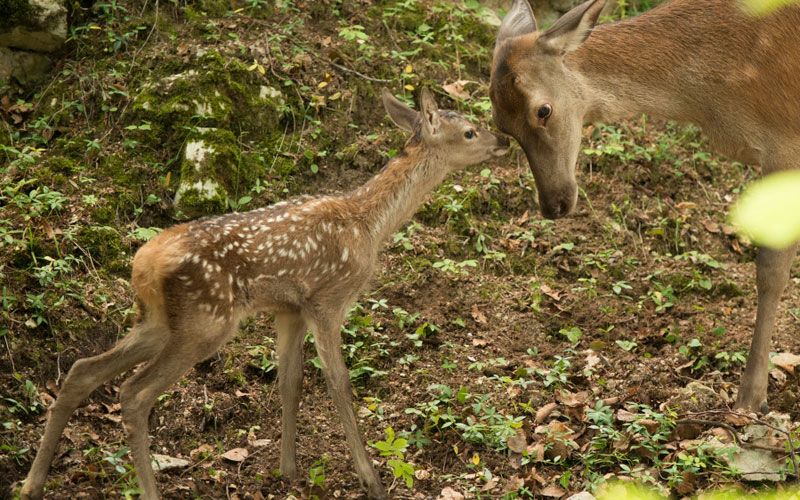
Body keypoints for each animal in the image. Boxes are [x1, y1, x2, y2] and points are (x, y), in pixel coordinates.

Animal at [21, 90, 510, 500]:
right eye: (470, 131)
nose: (504, 139)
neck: (367, 225)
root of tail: (143, 264)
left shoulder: (289, 308)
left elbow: (289, 382)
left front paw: (288, 470)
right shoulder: (328, 299)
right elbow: (338, 382)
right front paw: (370, 479)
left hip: (159, 320)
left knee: (82, 371)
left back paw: (31, 483)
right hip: (205, 320)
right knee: (134, 392)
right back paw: (146, 490)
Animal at [490, 0, 796, 412]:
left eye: (543, 110)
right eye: (501, 126)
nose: (554, 204)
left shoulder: (785, 143)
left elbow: (771, 270)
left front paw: (751, 398)